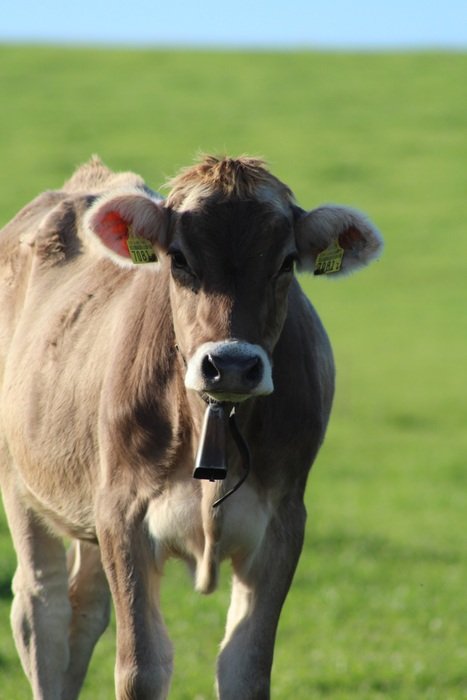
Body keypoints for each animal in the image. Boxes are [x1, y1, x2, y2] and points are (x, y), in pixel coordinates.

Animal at [0, 155, 382, 699]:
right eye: (178, 258)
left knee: (82, 609)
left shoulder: (283, 522)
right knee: (41, 610)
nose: (232, 366)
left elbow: (246, 669)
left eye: (286, 261)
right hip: (21, 481)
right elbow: (141, 670)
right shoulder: (124, 514)